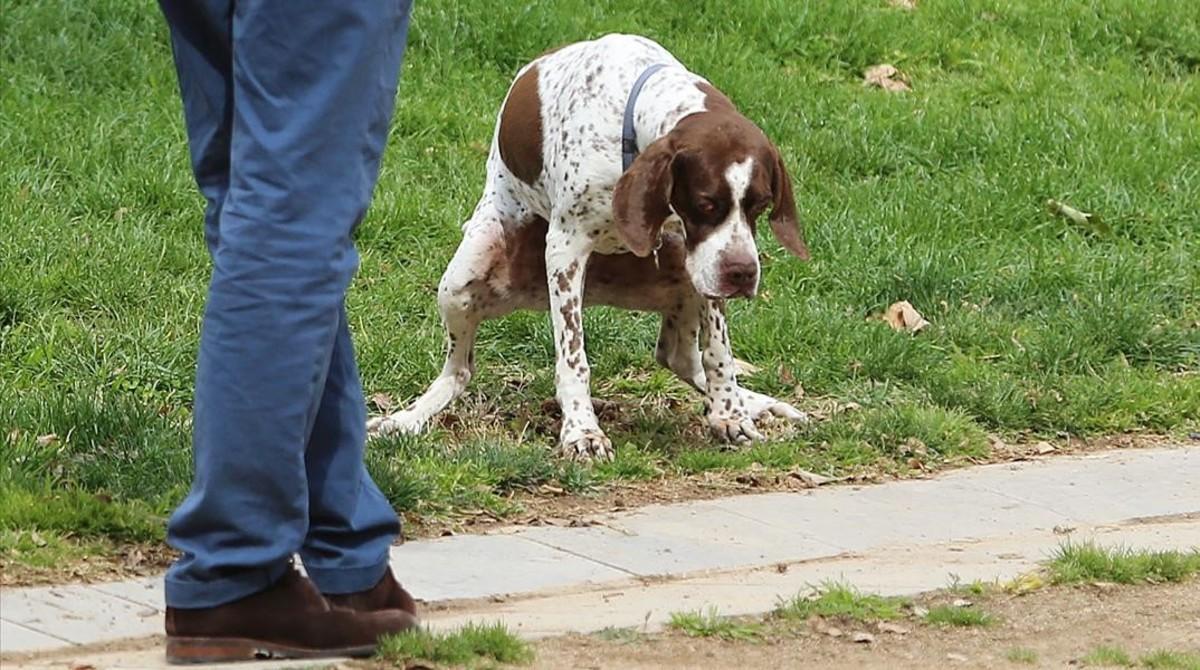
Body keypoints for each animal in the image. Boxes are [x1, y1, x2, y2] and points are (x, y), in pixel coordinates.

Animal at [369, 34, 811, 458]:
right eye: (706, 204)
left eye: (760, 205)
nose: (743, 274)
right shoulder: (566, 248)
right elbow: (573, 359)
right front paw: (582, 431)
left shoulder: (704, 260)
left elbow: (718, 353)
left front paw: (731, 414)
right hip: (461, 281)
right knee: (458, 371)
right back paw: (407, 419)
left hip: (683, 269)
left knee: (680, 357)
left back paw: (754, 401)